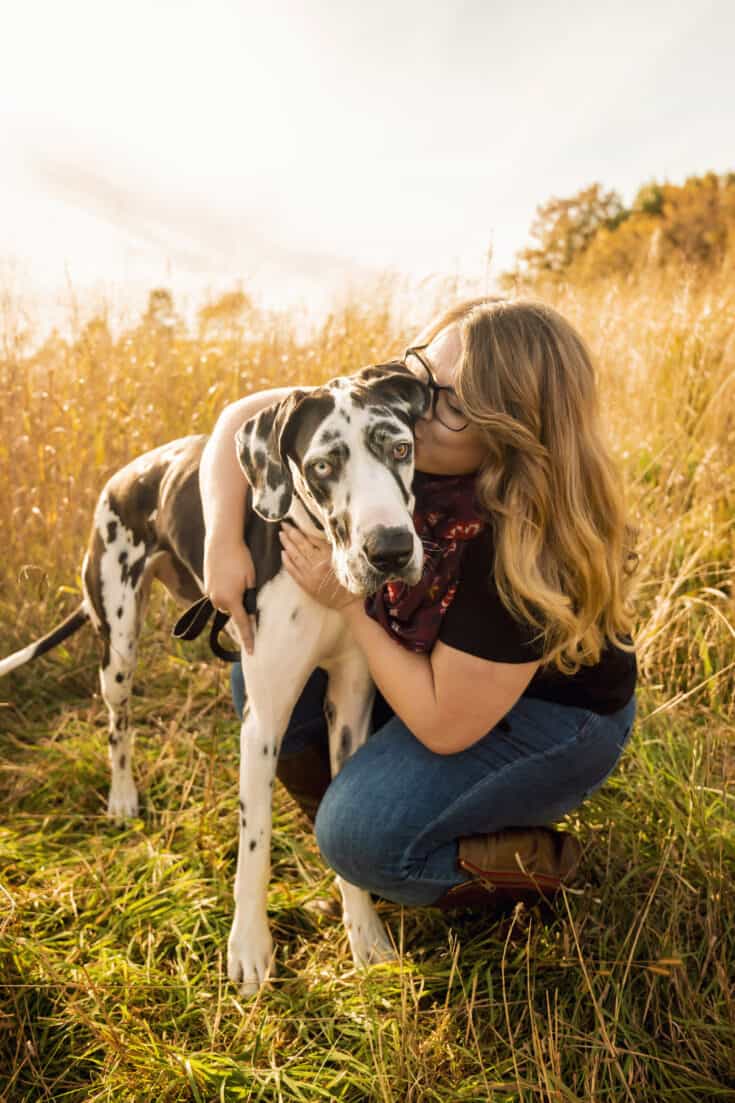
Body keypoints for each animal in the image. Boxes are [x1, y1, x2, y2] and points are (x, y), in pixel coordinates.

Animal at [0, 366, 430, 997]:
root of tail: (125, 475)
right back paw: (122, 798)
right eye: (324, 465)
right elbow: (255, 845)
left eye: (400, 448)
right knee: (118, 723)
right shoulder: (262, 722)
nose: (391, 550)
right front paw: (249, 951)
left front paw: (366, 938)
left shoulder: (350, 705)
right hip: (119, 642)